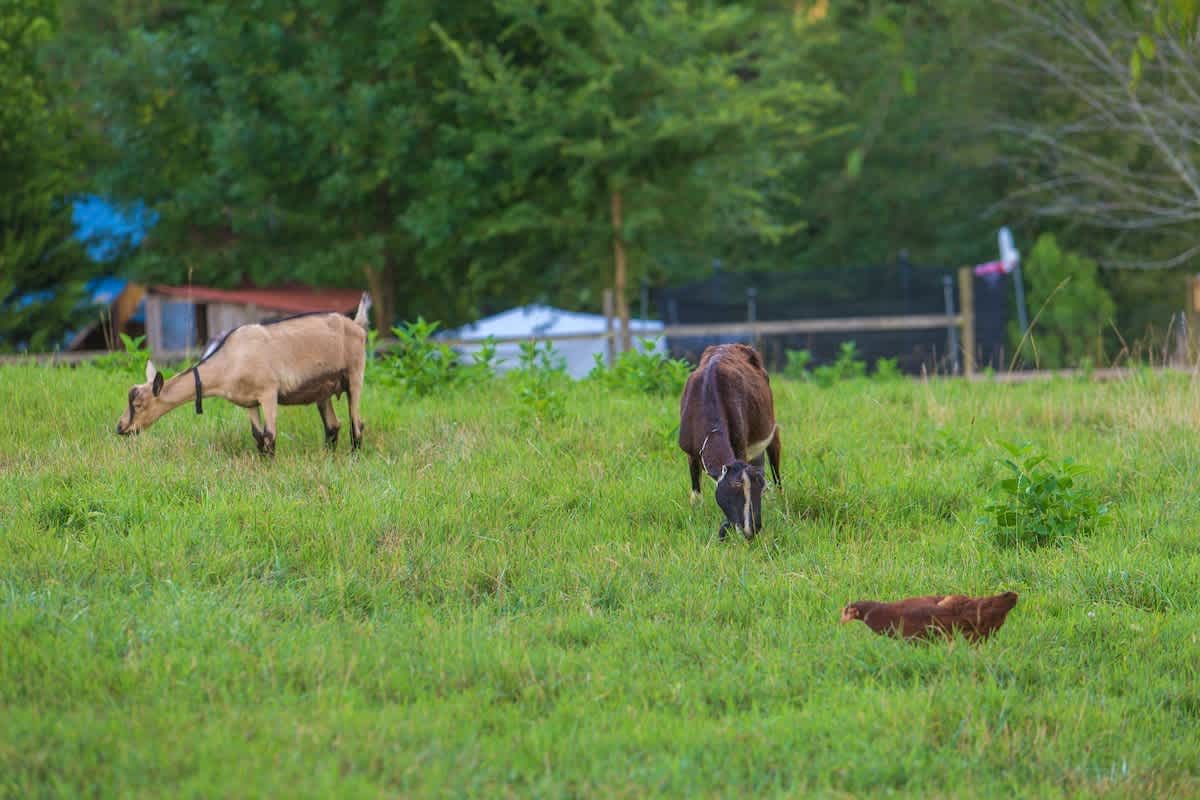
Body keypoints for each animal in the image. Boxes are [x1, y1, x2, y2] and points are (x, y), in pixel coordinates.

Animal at [116, 293, 371, 455]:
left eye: (138, 404)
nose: (120, 428)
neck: (230, 360)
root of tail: (356, 324)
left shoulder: (269, 393)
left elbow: (270, 436)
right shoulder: (249, 401)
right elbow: (258, 437)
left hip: (355, 374)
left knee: (356, 423)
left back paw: (354, 457)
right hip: (324, 389)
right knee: (333, 426)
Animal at [678, 343, 781, 540]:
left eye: (759, 489)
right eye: (735, 488)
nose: (753, 529)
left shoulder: (740, 445)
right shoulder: (689, 451)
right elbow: (695, 490)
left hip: (771, 425)